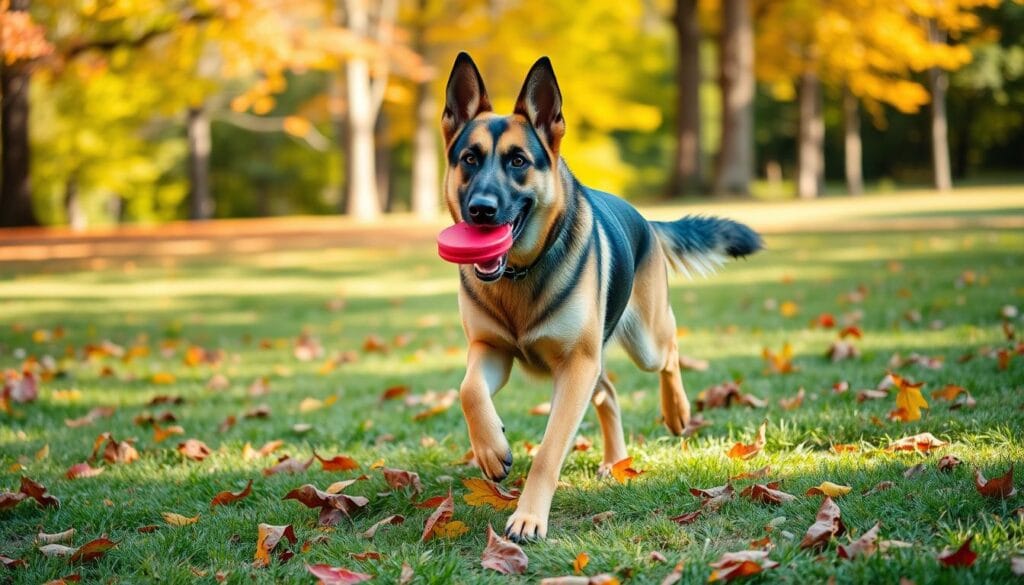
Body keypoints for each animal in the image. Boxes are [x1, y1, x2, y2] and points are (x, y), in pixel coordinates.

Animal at [444, 52, 765, 540]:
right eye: (469, 158)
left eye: (518, 161)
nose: (481, 210)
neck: (520, 273)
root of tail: (645, 218)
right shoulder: (492, 350)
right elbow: (468, 390)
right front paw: (490, 449)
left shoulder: (576, 365)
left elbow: (549, 451)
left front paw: (528, 516)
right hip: (590, 364)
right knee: (609, 392)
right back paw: (616, 461)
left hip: (640, 343)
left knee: (670, 349)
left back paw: (676, 411)